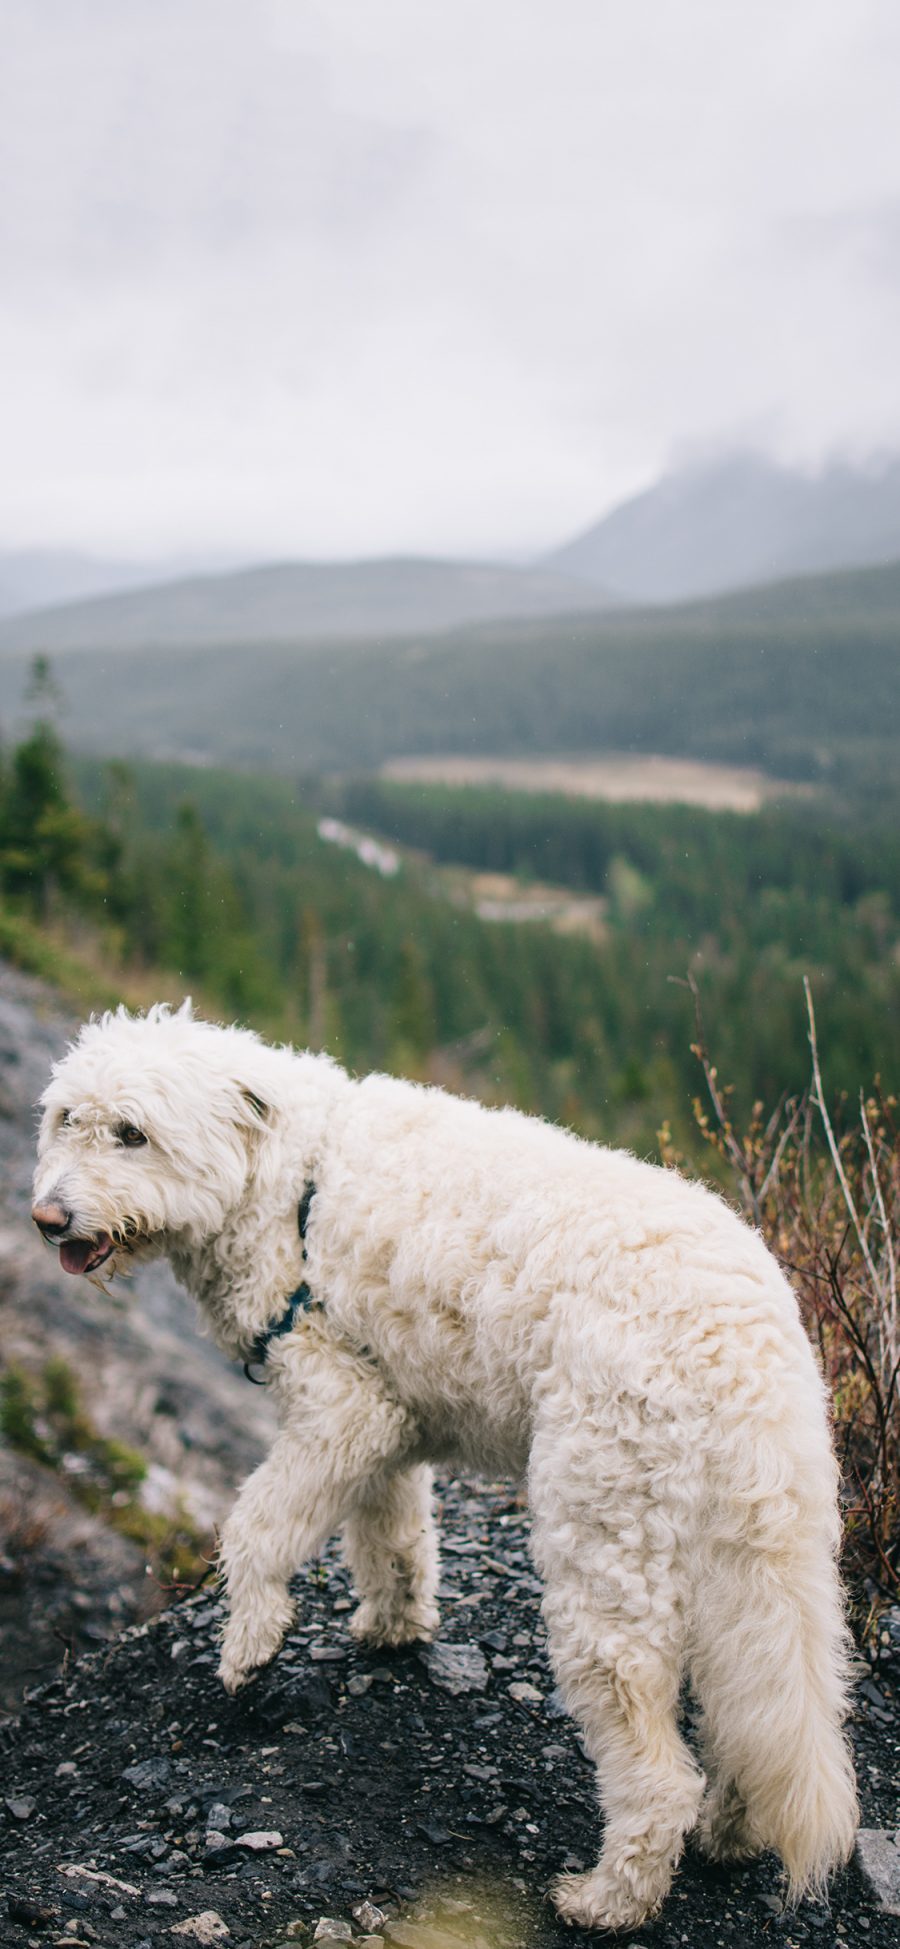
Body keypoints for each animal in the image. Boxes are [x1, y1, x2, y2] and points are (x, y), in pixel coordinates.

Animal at [29, 1005, 857, 1933]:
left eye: (132, 1132)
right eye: (66, 1119)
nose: (47, 1216)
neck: (287, 1185)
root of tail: (748, 1342)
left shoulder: (339, 1406)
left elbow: (257, 1528)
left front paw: (250, 1639)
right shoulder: (385, 1423)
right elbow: (391, 1536)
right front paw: (394, 1625)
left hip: (608, 1545)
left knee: (657, 1772)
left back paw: (607, 1899)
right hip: (746, 1564)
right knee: (752, 1719)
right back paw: (729, 1834)